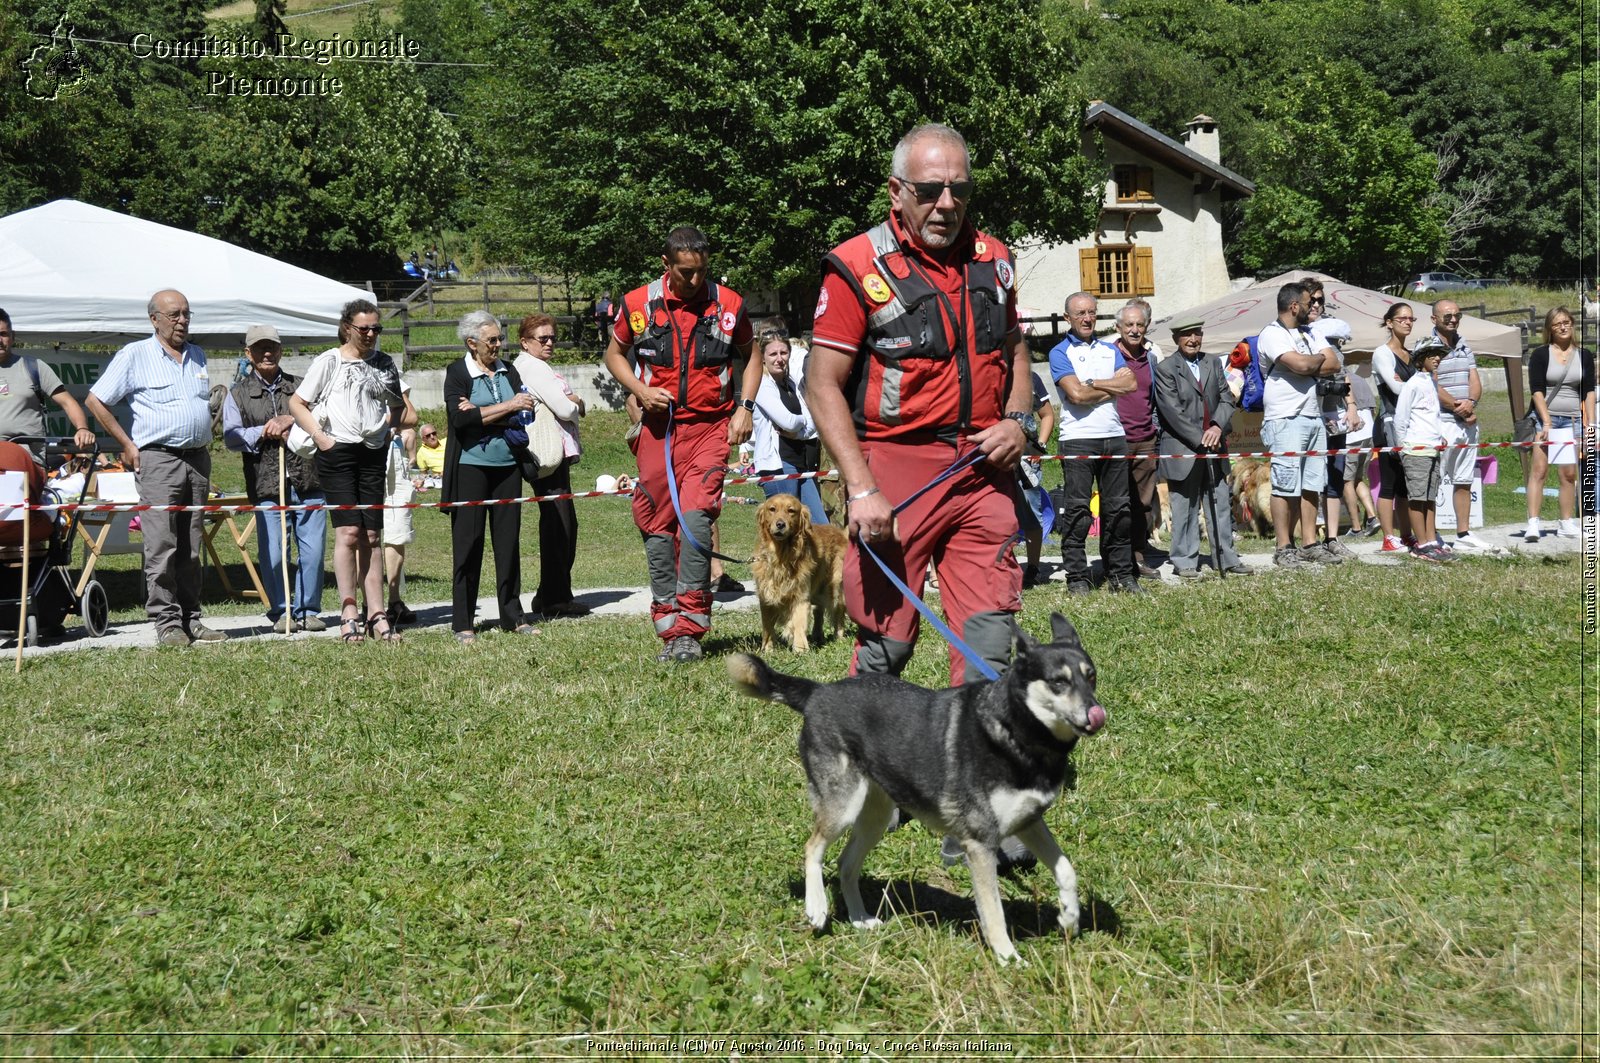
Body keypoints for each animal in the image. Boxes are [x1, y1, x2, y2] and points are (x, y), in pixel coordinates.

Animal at [732, 611, 1107, 966]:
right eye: (1058, 682)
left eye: (1091, 676)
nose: (1096, 713)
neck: (1015, 729)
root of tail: (819, 692)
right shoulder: (980, 843)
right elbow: (994, 912)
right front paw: (1008, 957)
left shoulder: (1029, 822)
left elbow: (1066, 870)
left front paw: (1069, 917)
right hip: (843, 805)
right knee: (813, 848)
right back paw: (817, 906)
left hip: (875, 816)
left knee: (845, 863)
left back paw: (859, 918)